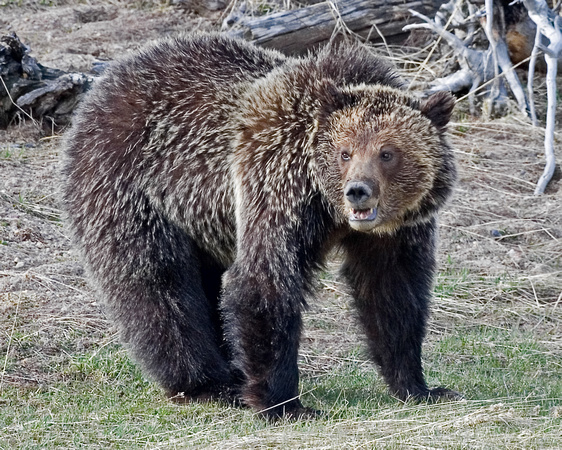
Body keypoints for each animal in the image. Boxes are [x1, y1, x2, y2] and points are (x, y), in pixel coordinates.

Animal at [62, 31, 456, 418]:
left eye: (387, 152)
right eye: (345, 152)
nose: (358, 191)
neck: (329, 211)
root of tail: (107, 81)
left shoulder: (396, 232)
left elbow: (393, 291)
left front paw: (420, 386)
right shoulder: (276, 182)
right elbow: (266, 283)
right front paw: (284, 403)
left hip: (199, 217)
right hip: (131, 185)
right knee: (157, 283)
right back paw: (207, 383)